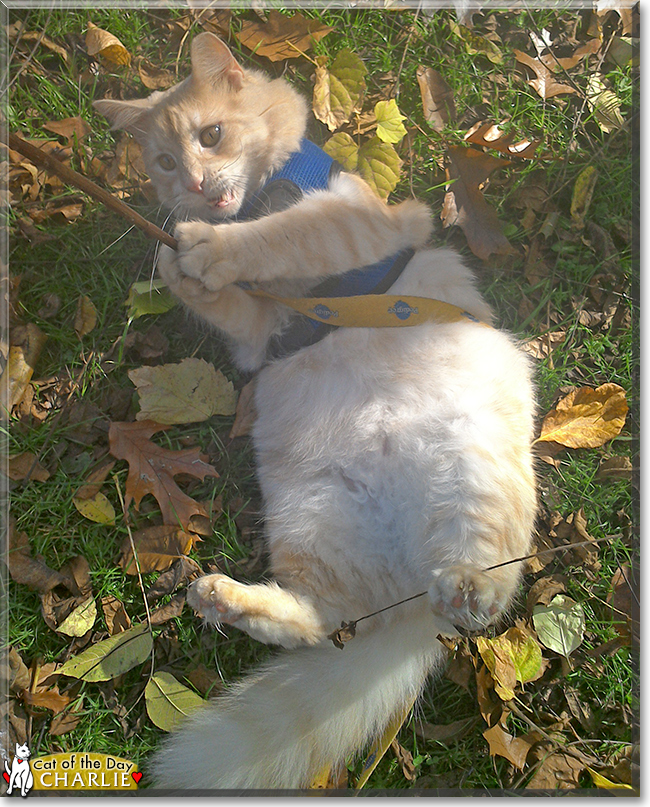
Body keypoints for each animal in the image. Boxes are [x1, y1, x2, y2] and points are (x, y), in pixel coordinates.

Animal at [93, 34, 536, 792]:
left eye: (212, 136)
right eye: (164, 163)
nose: (197, 188)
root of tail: (413, 601)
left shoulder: (349, 222)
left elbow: (281, 234)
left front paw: (210, 246)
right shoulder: (260, 331)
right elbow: (220, 294)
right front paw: (180, 259)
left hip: (471, 472)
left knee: (487, 586)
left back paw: (466, 587)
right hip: (313, 524)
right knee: (319, 620)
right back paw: (225, 598)